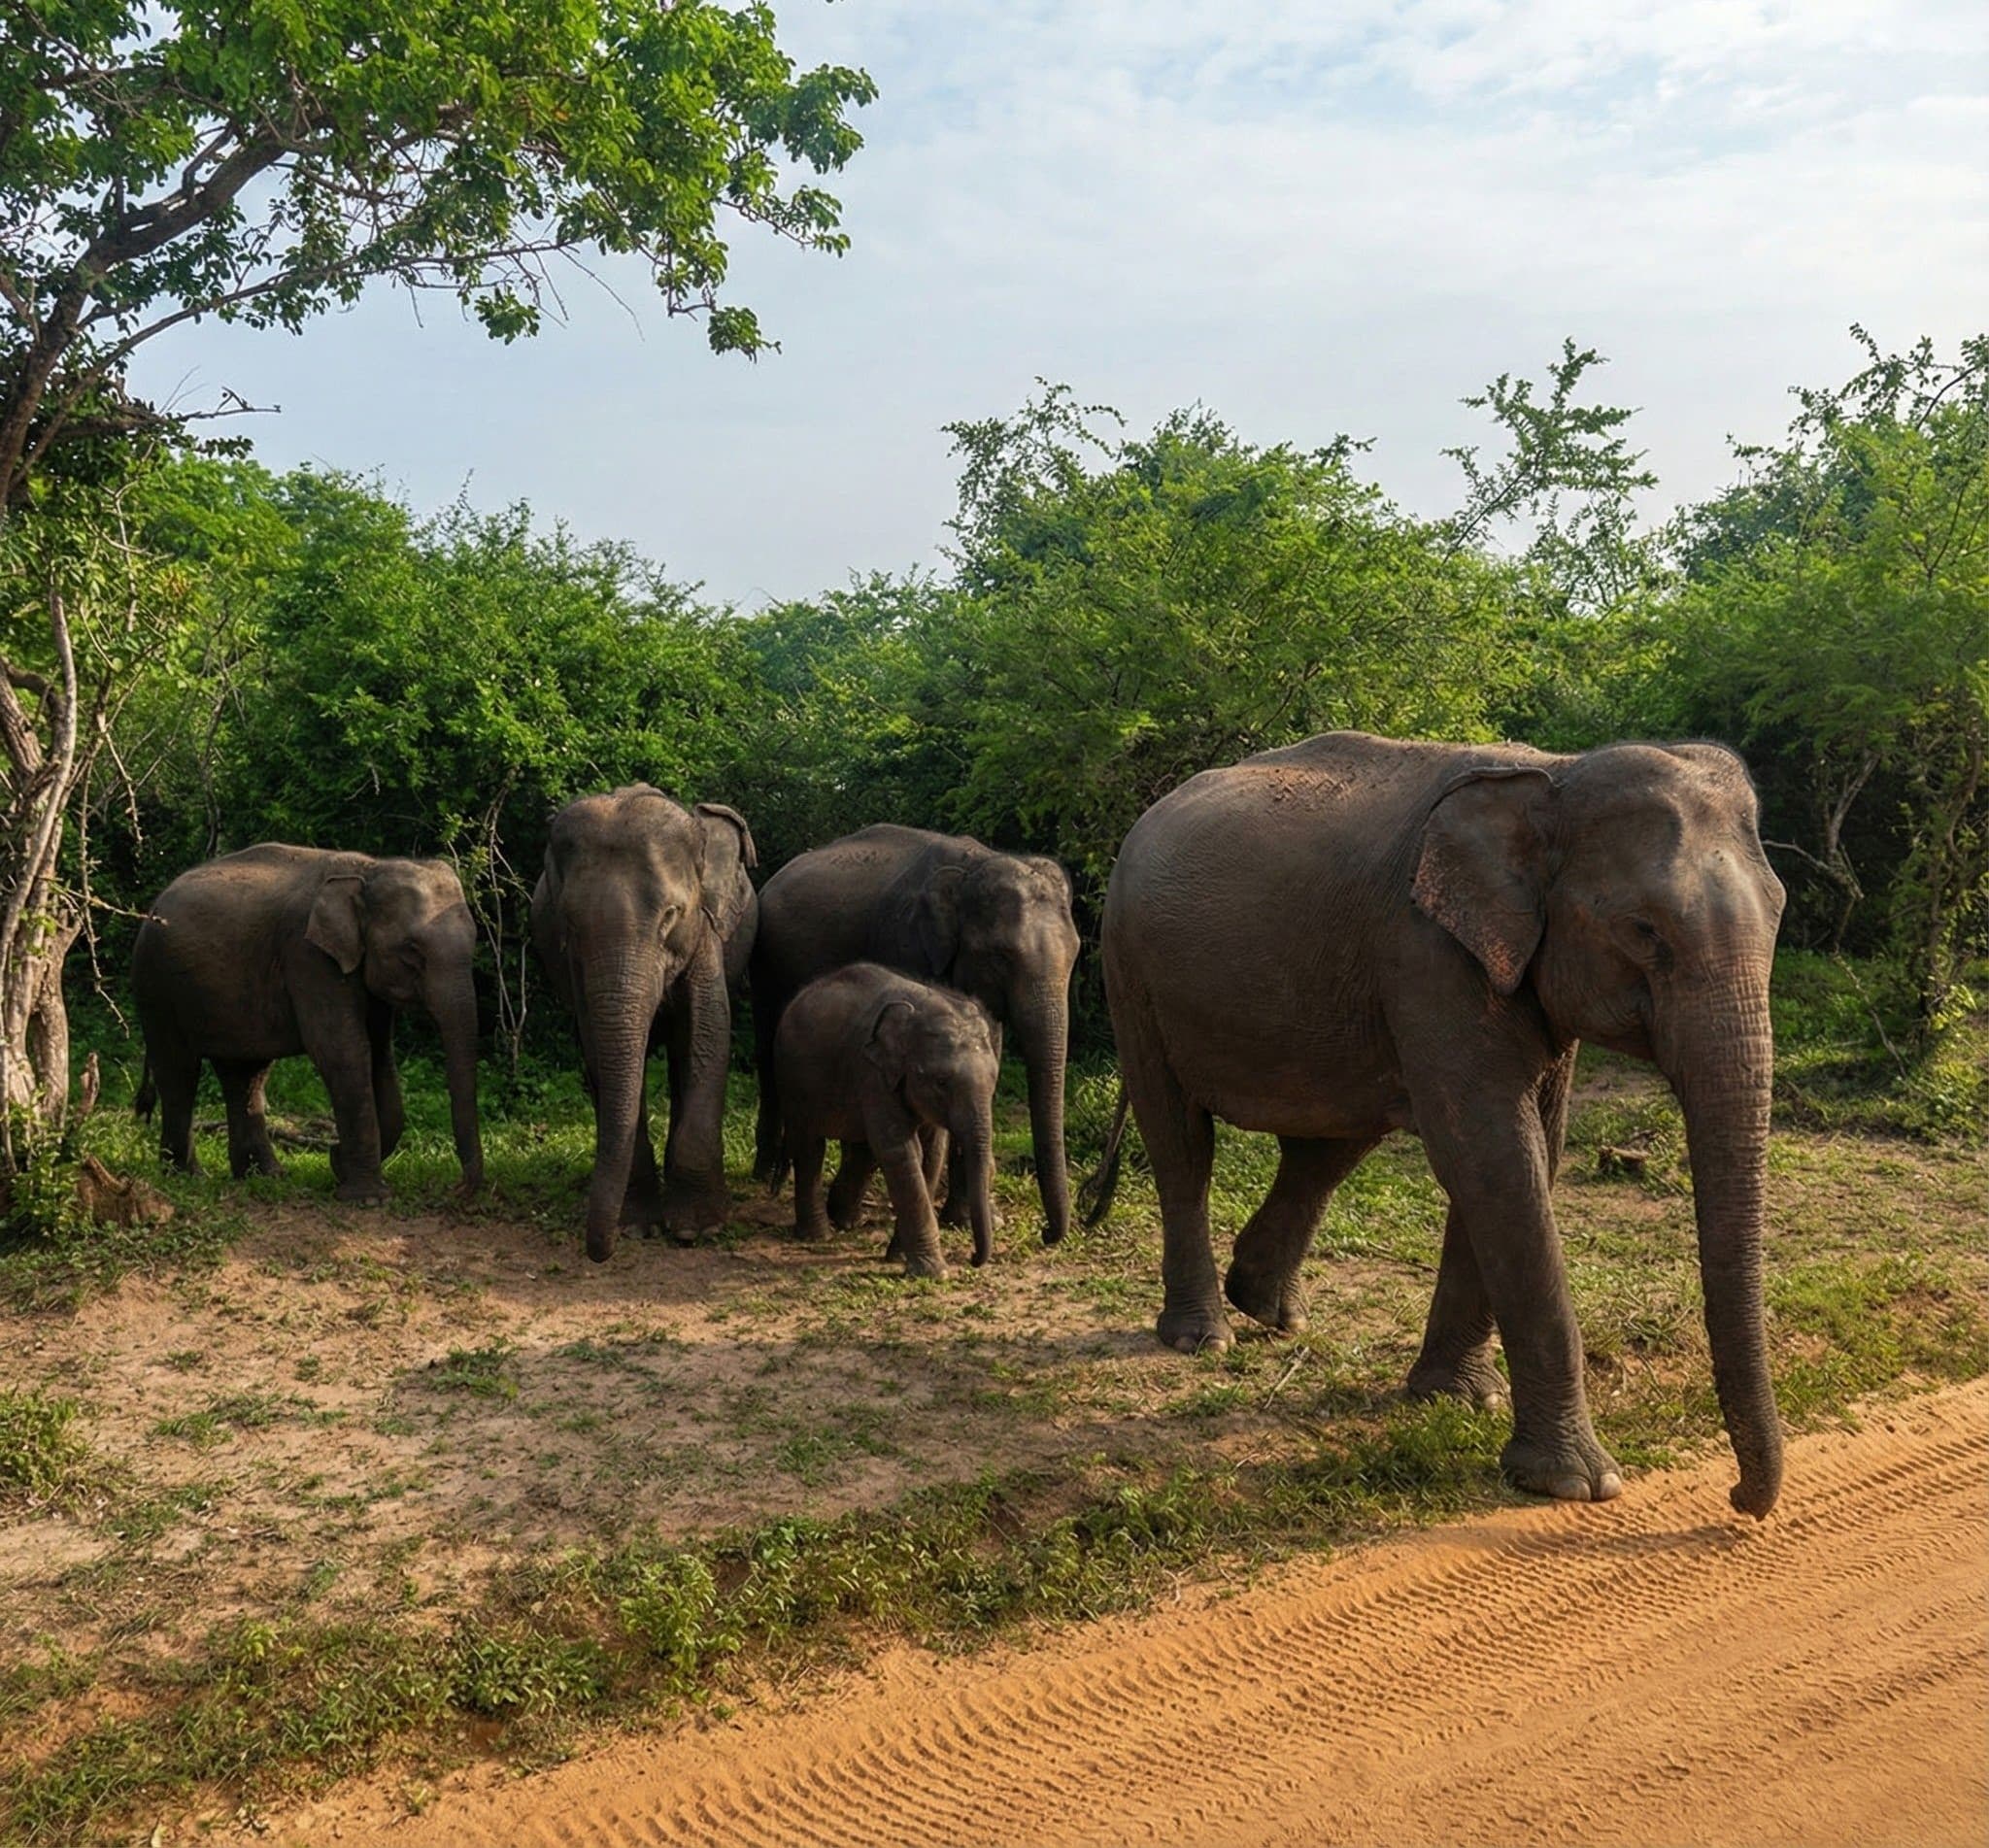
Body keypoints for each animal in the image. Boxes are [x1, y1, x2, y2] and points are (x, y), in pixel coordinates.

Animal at [131, 844, 484, 1198]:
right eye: (412, 953)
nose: (457, 1188)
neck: (369, 870)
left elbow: (380, 1054)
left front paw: (342, 1168)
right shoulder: (308, 956)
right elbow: (342, 1050)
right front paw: (367, 1197)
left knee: (245, 1074)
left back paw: (266, 1177)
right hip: (156, 984)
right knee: (179, 1070)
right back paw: (189, 1177)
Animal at [531, 787, 757, 1261]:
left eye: (671, 914)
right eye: (569, 922)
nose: (599, 1253)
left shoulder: (705, 932)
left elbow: (709, 1034)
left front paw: (696, 1230)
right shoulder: (575, 966)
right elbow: (597, 1048)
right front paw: (635, 1227)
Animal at [772, 963, 1000, 1276]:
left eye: (994, 1079)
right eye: (941, 1082)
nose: (973, 1259)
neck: (922, 1007)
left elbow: (932, 1154)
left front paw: (899, 1257)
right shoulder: (873, 1074)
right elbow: (901, 1151)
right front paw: (933, 1272)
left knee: (862, 1150)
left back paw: (846, 1221)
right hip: (795, 1080)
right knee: (810, 1147)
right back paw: (818, 1236)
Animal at [1092, 731, 1788, 1518]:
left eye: (1779, 912)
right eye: (1643, 930)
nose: (1740, 1498)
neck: (1556, 776)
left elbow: (1523, 1156)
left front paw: (1456, 1400)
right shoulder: (1427, 953)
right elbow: (1495, 1157)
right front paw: (1579, 1483)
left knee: (1327, 1147)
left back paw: (1270, 1310)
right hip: (1129, 970)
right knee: (1182, 1142)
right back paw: (1203, 1338)